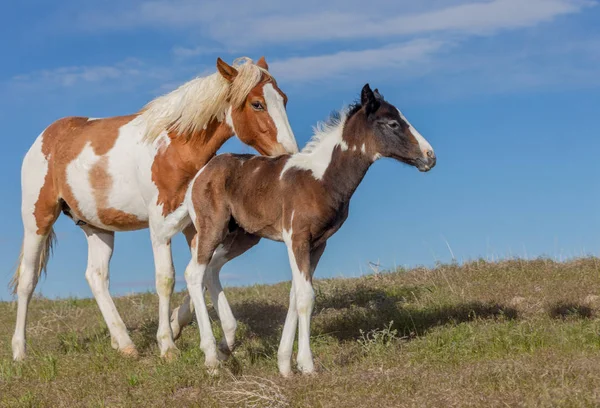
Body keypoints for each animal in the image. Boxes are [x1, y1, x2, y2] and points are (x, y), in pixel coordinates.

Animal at [11, 56, 298, 360]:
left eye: (283, 99)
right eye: (257, 104)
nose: (289, 154)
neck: (175, 148)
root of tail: (46, 137)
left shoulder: (194, 227)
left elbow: (201, 272)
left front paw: (178, 326)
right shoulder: (160, 225)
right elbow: (166, 278)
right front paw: (167, 345)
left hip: (97, 228)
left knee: (96, 277)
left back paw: (124, 343)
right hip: (38, 220)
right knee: (27, 280)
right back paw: (20, 351)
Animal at [178, 84, 436, 374]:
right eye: (392, 123)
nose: (430, 156)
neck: (321, 178)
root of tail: (199, 176)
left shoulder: (318, 244)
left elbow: (295, 294)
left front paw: (285, 365)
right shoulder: (297, 238)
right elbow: (305, 296)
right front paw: (308, 365)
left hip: (242, 236)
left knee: (211, 270)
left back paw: (226, 345)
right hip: (212, 228)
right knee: (194, 273)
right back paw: (211, 357)